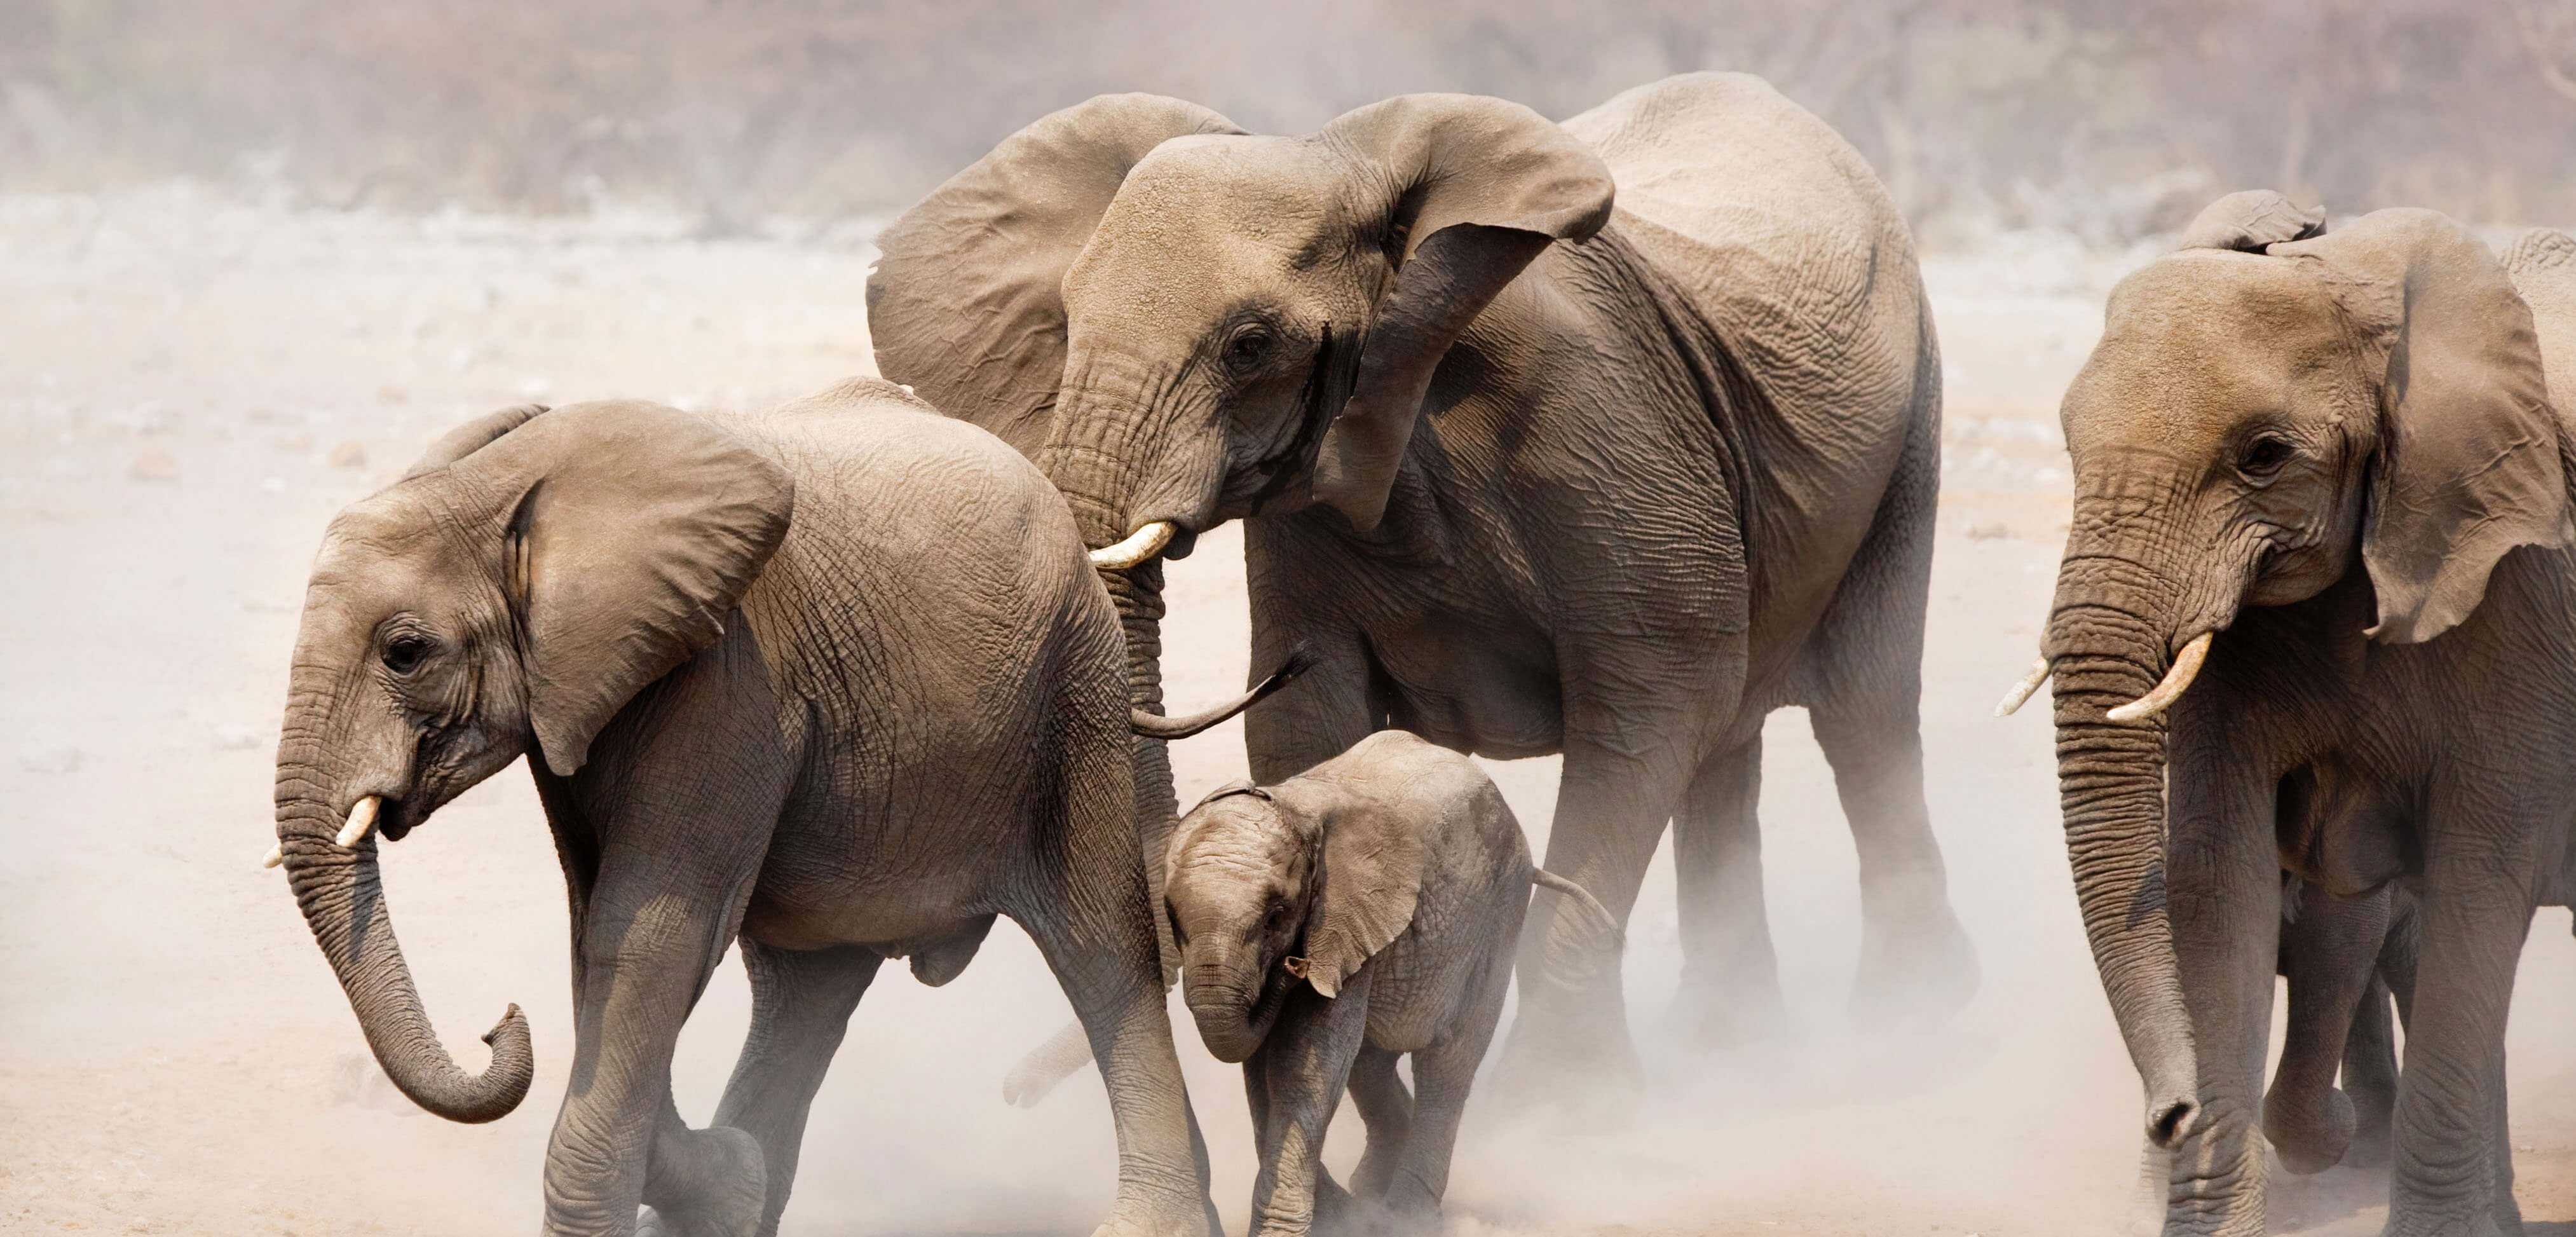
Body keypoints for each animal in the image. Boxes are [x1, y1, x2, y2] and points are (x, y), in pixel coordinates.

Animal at [269, 378, 1308, 1237]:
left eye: (406, 651)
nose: (498, 1024)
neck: (505, 489)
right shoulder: (581, 708)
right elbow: (601, 937)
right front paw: (726, 1182)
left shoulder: (728, 681)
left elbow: (649, 933)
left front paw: (696, 1183)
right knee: (806, 996)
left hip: (1072, 693)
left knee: (1101, 952)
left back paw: (1151, 1223)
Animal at [865, 72, 1968, 1098]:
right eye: (1064, 318)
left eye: (1250, 345)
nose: (1010, 1091)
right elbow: (1311, 721)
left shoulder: (1612, 433)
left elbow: (1652, 709)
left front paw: (1553, 1111)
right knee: (1734, 746)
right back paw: (1729, 1048)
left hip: (1912, 424)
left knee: (1862, 711)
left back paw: (1912, 1024)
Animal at [1164, 732, 1607, 1231]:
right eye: (1171, 918)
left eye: (1277, 916)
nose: (1292, 966)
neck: (1294, 808)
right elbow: (1264, 1068)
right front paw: (1331, 1216)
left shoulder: (1345, 920)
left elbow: (1304, 1063)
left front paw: (1288, 1230)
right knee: (1369, 1061)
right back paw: (1370, 1194)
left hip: (1500, 914)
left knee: (1447, 1064)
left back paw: (1407, 1214)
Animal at [1999, 196, 2576, 1237]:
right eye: (2068, 447)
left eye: (2263, 457)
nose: (2170, 1113)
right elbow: (2214, 887)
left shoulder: (2521, 588)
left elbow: (2476, 884)